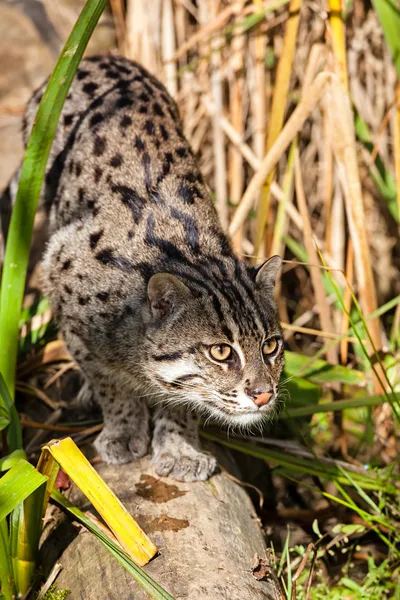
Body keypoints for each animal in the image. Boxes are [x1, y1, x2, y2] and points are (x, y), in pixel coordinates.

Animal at [18, 54, 284, 480]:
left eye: (271, 346)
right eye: (220, 352)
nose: (263, 394)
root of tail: (102, 57)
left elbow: (180, 396)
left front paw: (179, 447)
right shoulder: (61, 275)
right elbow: (110, 381)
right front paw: (124, 430)